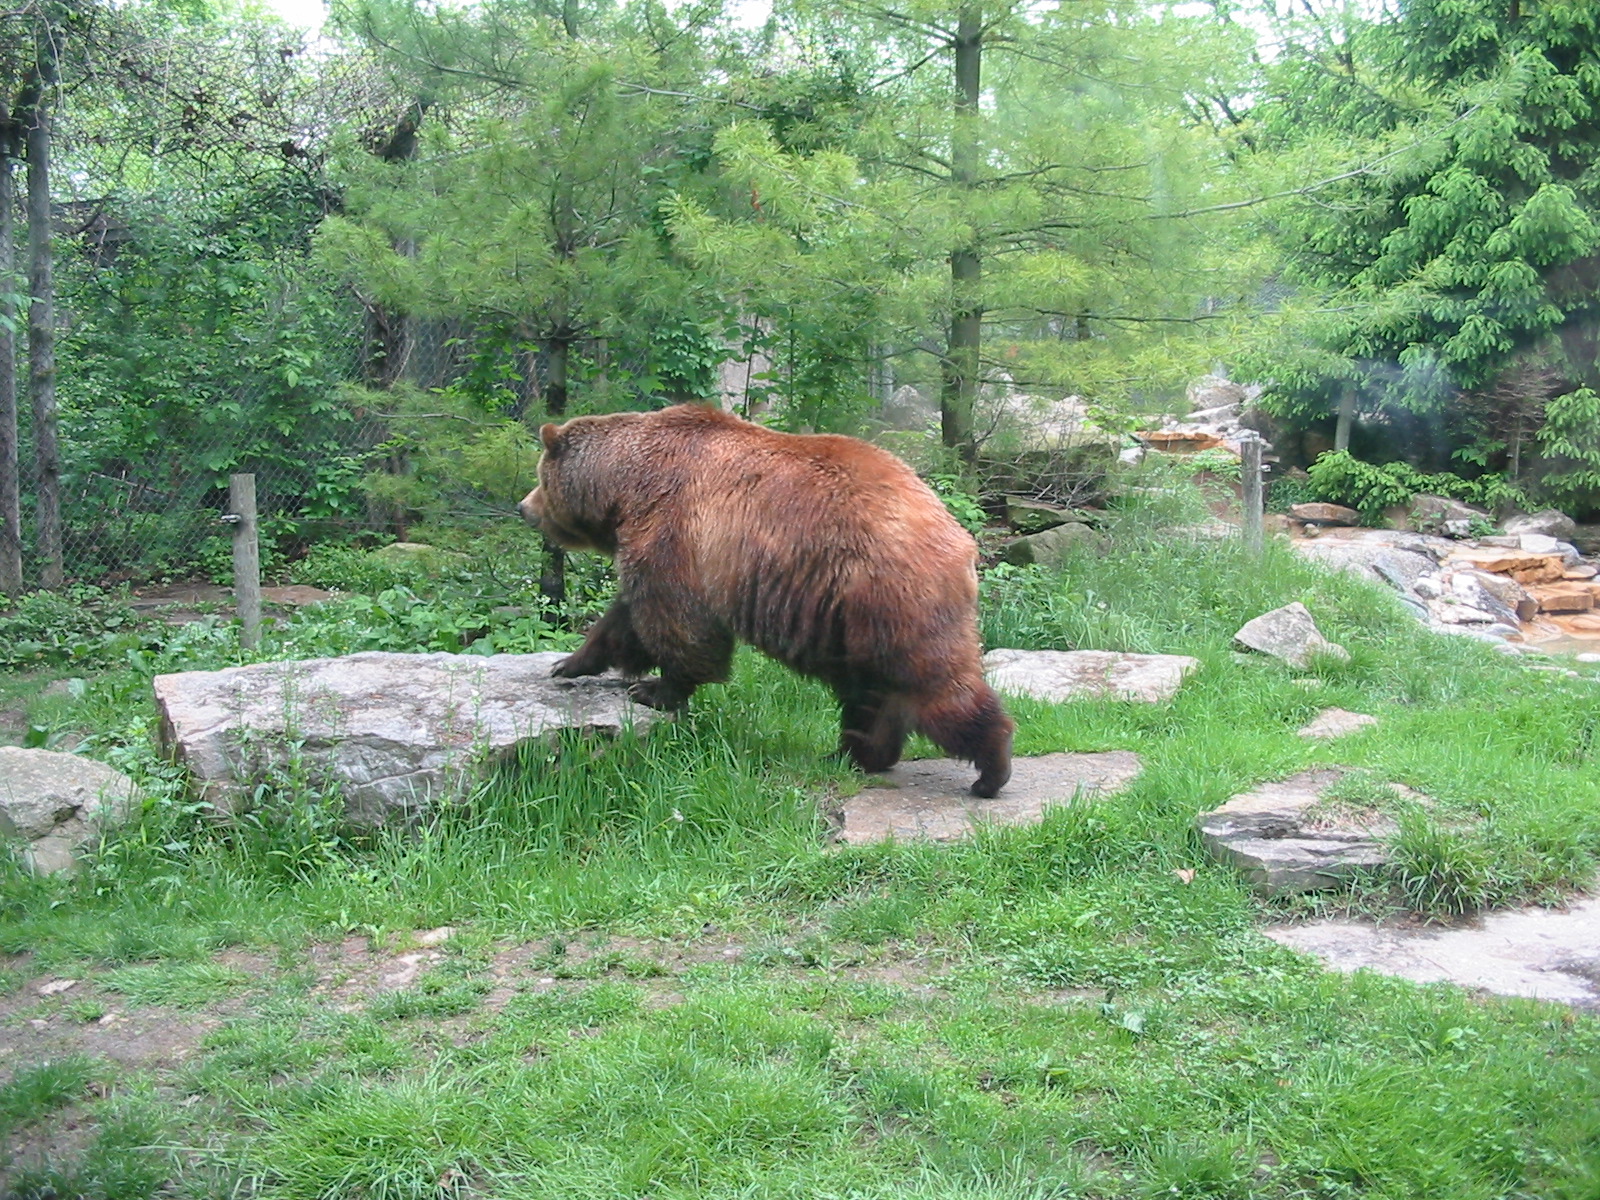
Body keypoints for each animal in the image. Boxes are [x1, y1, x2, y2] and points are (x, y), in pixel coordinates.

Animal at [518, 404, 1013, 798]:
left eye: (539, 478)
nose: (524, 508)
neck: (625, 484)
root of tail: (962, 542)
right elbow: (625, 617)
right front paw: (569, 663)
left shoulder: (673, 527)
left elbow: (676, 618)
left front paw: (655, 688)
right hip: (853, 620)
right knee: (871, 692)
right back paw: (854, 754)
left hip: (889, 594)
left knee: (932, 682)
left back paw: (990, 770)